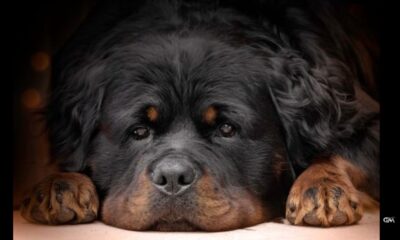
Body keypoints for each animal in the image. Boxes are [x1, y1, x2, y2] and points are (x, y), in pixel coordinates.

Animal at [20, 0, 380, 232]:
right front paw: (58, 184)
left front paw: (321, 187)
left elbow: (340, 150)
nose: (173, 177)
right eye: (139, 131)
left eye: (227, 128)